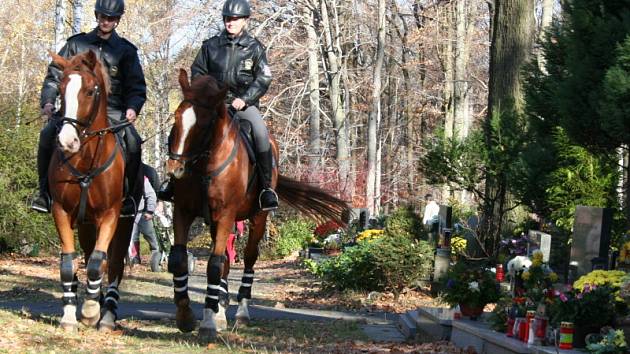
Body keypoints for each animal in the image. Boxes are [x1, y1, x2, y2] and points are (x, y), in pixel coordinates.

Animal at [47, 50, 138, 332]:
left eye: (89, 91)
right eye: (60, 90)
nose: (67, 142)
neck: (85, 157)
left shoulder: (110, 215)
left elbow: (100, 262)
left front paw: (89, 310)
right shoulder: (61, 211)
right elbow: (69, 263)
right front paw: (69, 314)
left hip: (124, 223)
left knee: (114, 264)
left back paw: (106, 312)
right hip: (86, 224)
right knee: (88, 256)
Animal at [165, 70, 348, 340]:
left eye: (204, 124)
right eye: (177, 118)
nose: (175, 168)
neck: (204, 165)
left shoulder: (225, 214)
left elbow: (213, 266)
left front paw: (207, 323)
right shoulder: (184, 211)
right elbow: (179, 259)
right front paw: (186, 316)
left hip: (257, 218)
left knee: (249, 258)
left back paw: (241, 312)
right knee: (226, 260)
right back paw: (221, 309)